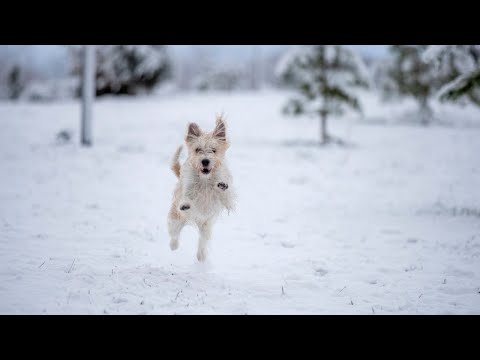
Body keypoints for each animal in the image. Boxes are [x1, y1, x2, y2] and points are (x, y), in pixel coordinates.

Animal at [168, 115, 235, 262]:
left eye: (213, 150)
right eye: (198, 149)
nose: (205, 161)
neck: (204, 179)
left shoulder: (227, 198)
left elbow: (226, 194)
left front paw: (221, 185)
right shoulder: (186, 187)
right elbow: (186, 195)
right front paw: (186, 204)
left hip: (206, 227)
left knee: (202, 242)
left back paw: (201, 256)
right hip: (176, 219)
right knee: (174, 234)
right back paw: (173, 246)